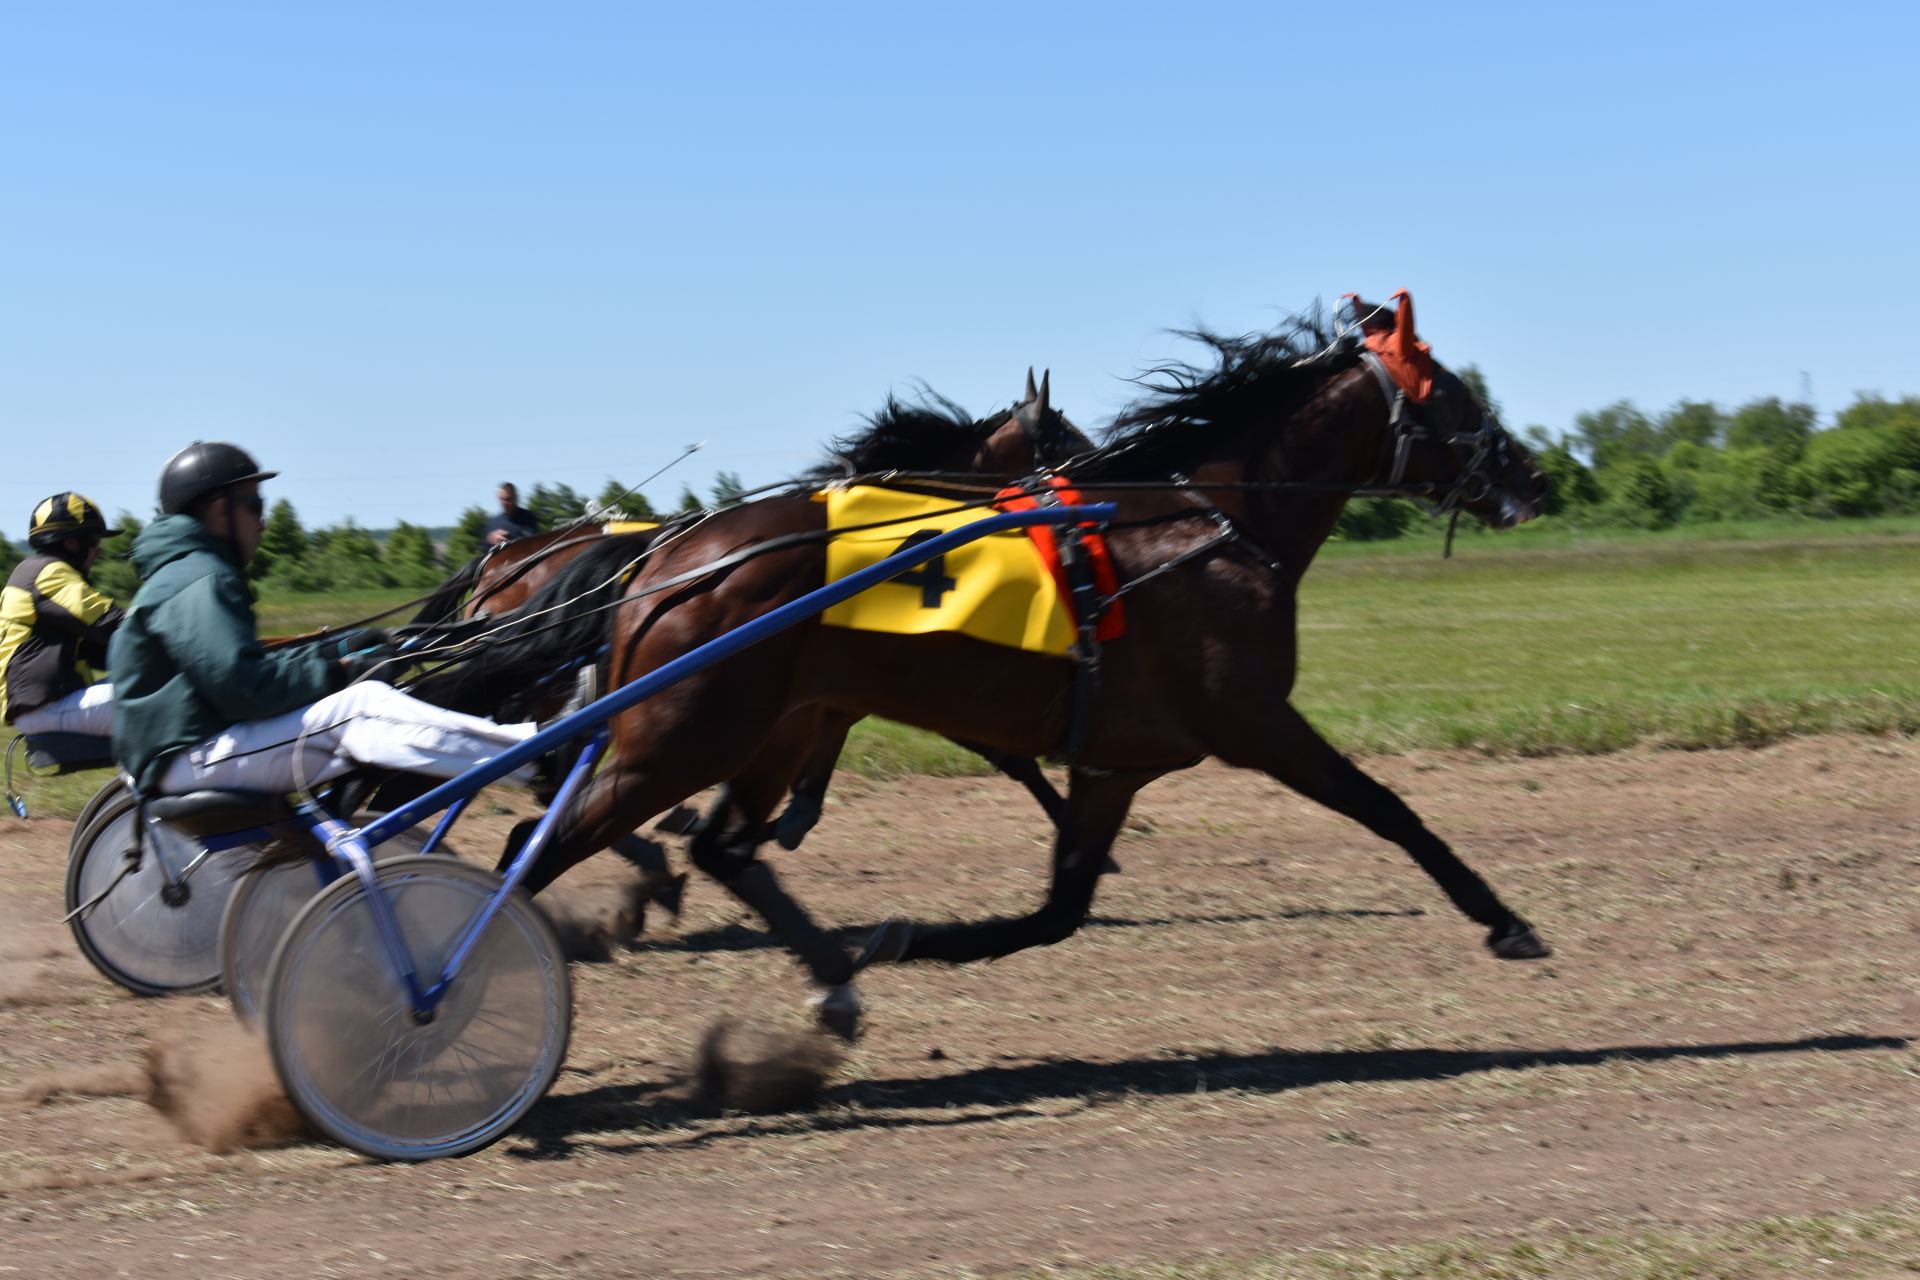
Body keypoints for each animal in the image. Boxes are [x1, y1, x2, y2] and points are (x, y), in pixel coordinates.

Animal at [506, 293, 1559, 1043]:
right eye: (1458, 396)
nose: (1533, 478)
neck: (1209, 525)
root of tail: (660, 562)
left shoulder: (1116, 761)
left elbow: (1058, 909)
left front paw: (906, 940)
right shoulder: (1253, 720)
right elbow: (1390, 809)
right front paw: (1504, 919)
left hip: (772, 726)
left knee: (723, 848)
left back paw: (832, 978)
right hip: (684, 737)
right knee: (541, 844)